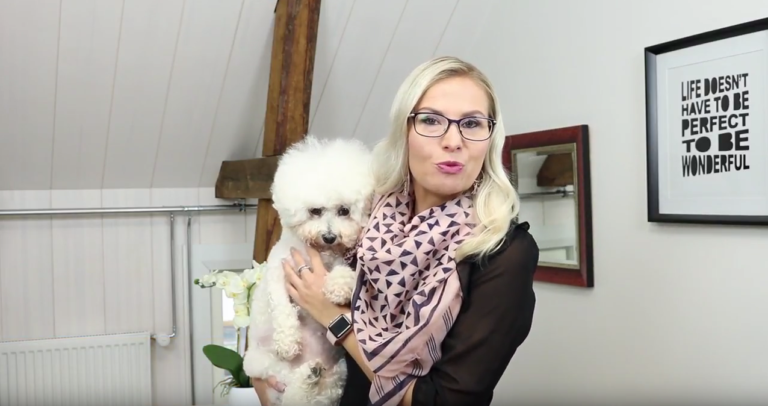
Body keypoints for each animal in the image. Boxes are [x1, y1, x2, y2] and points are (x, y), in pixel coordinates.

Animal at [243, 135, 374, 406]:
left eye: (344, 210)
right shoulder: (278, 273)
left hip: (336, 375)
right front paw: (288, 342)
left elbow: (344, 274)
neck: (320, 253)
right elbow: (282, 307)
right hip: (266, 365)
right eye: (315, 211)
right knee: (293, 392)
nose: (330, 237)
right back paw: (306, 373)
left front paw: (338, 287)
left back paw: (310, 375)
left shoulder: (339, 263)